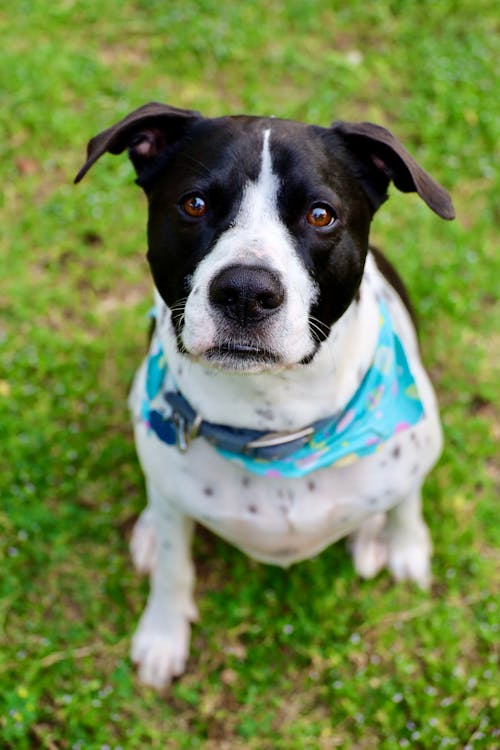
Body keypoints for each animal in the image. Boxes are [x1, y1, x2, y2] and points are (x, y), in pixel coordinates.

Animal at [76, 103, 456, 692]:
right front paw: (162, 634)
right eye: (194, 203)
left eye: (321, 215)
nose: (245, 292)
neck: (274, 426)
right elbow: (173, 566)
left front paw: (407, 547)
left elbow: (406, 501)